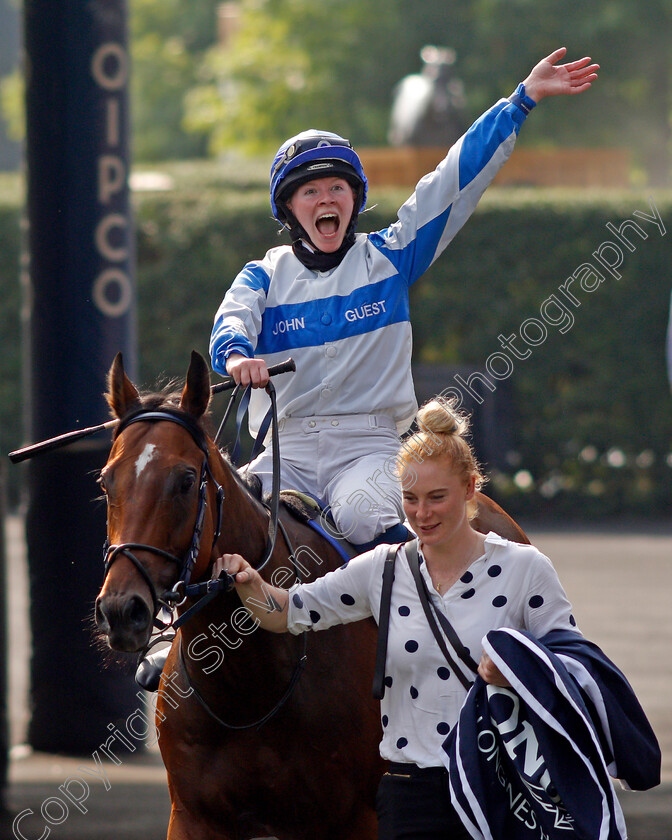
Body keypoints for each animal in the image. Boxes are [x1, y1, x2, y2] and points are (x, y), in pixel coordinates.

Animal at [94, 352, 528, 840]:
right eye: (107, 481)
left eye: (186, 480)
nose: (121, 610)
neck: (252, 686)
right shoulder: (194, 816)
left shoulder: (358, 818)